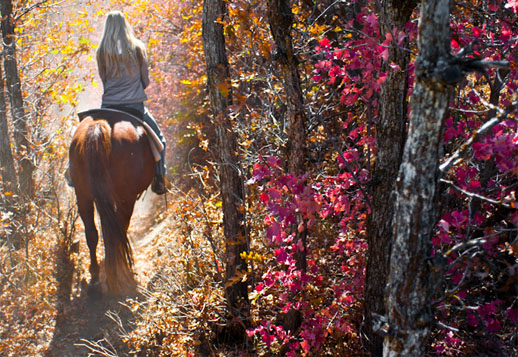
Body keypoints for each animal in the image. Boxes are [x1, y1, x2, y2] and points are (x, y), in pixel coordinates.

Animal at [69, 108, 154, 294]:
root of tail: (98, 127)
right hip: (125, 197)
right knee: (119, 228)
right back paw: (118, 271)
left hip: (83, 195)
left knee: (92, 233)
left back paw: (96, 277)